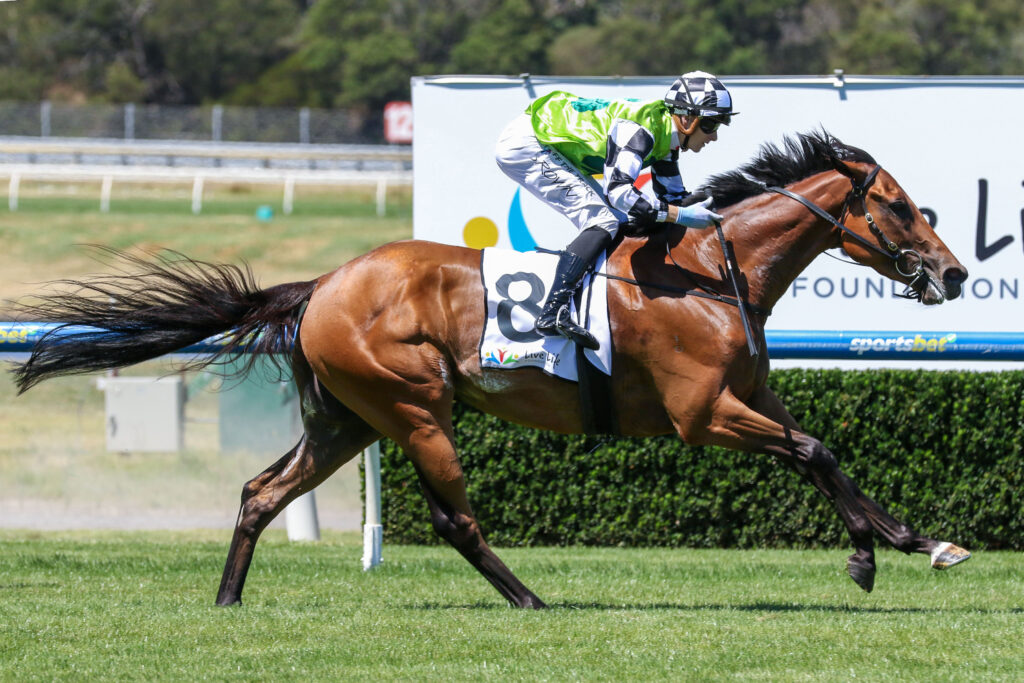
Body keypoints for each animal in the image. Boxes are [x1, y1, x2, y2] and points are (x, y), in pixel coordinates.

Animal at [11, 131, 972, 608]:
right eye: (897, 206)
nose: (956, 272)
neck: (709, 269)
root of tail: (323, 283)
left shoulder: (752, 394)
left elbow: (824, 453)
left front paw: (914, 539)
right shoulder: (703, 414)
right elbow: (813, 451)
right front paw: (876, 553)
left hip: (344, 418)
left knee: (260, 490)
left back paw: (226, 599)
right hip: (414, 404)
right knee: (453, 518)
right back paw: (530, 599)